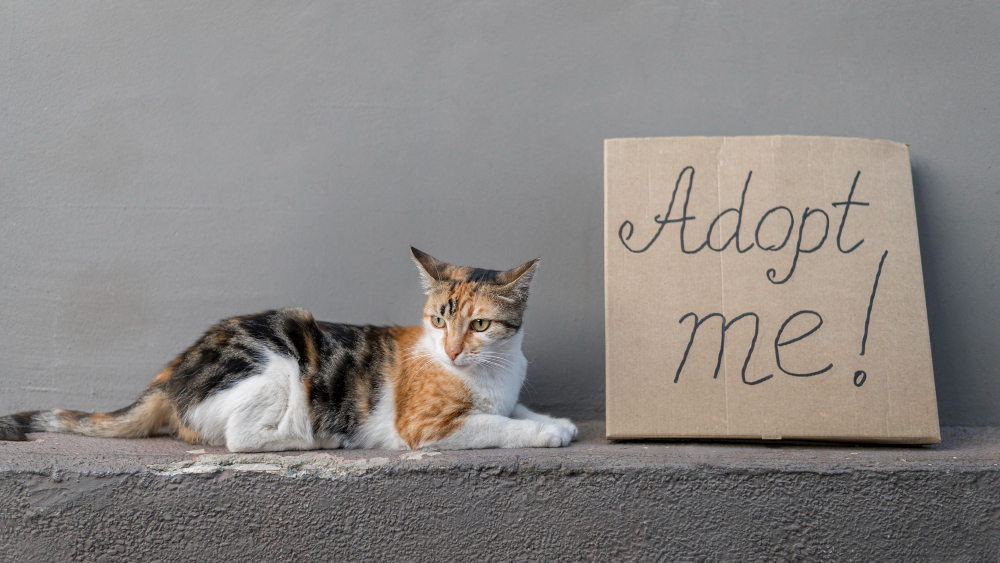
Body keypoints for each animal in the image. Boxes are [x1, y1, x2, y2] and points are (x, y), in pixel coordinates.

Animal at [0, 249, 580, 452]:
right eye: (438, 320)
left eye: (479, 324)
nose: (454, 350)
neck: (492, 372)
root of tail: (169, 374)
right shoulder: (426, 425)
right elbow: (495, 424)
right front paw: (543, 432)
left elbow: (513, 408)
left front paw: (554, 419)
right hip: (279, 363)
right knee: (239, 439)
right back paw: (315, 439)